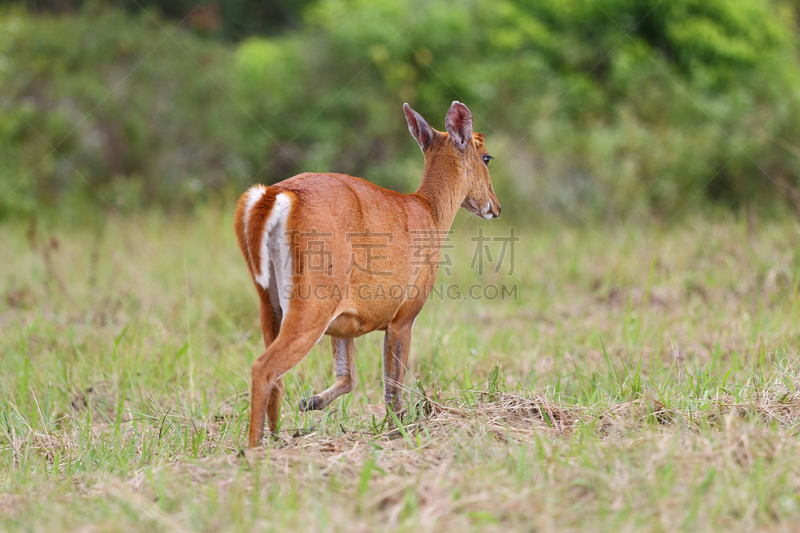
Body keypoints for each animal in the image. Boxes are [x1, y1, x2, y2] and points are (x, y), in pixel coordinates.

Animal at [231, 98, 504, 444]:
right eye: (486, 156)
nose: (496, 207)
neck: (430, 213)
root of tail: (272, 195)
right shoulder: (404, 314)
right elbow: (392, 387)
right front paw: (399, 431)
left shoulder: (346, 321)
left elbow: (348, 376)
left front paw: (311, 401)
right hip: (314, 297)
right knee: (263, 368)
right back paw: (254, 449)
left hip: (269, 301)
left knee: (277, 377)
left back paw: (279, 439)